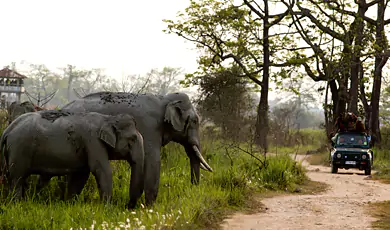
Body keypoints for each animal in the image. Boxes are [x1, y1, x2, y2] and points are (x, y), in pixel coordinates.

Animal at [0, 109, 145, 208]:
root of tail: (7, 129)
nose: (127, 207)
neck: (108, 118)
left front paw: (70, 205)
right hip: (19, 149)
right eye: (132, 139)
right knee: (17, 178)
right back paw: (17, 204)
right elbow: (101, 170)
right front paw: (107, 209)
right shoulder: (93, 141)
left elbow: (81, 175)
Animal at [61, 91, 213, 205]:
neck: (164, 99)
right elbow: (153, 161)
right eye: (195, 121)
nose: (193, 191)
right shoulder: (150, 128)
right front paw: (150, 207)